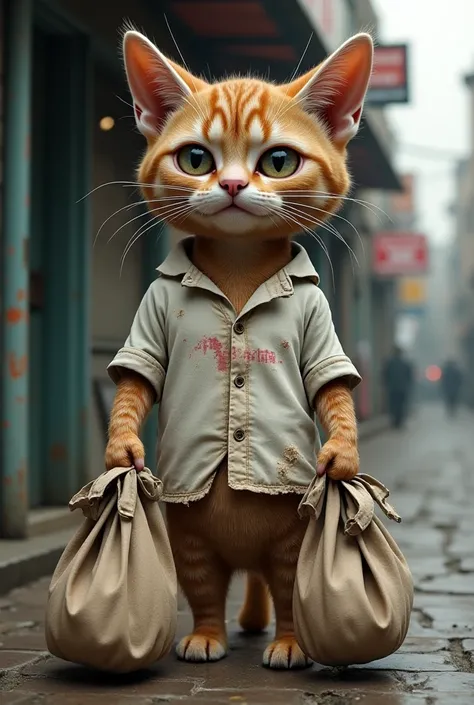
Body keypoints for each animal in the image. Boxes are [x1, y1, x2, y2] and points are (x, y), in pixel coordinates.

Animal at [104, 30, 374, 672]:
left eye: (278, 162)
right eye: (196, 159)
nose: (230, 185)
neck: (238, 265)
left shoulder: (317, 320)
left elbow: (331, 389)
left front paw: (343, 457)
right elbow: (137, 382)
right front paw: (123, 449)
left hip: (287, 532)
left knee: (282, 579)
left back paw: (287, 641)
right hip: (192, 533)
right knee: (208, 583)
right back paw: (212, 634)